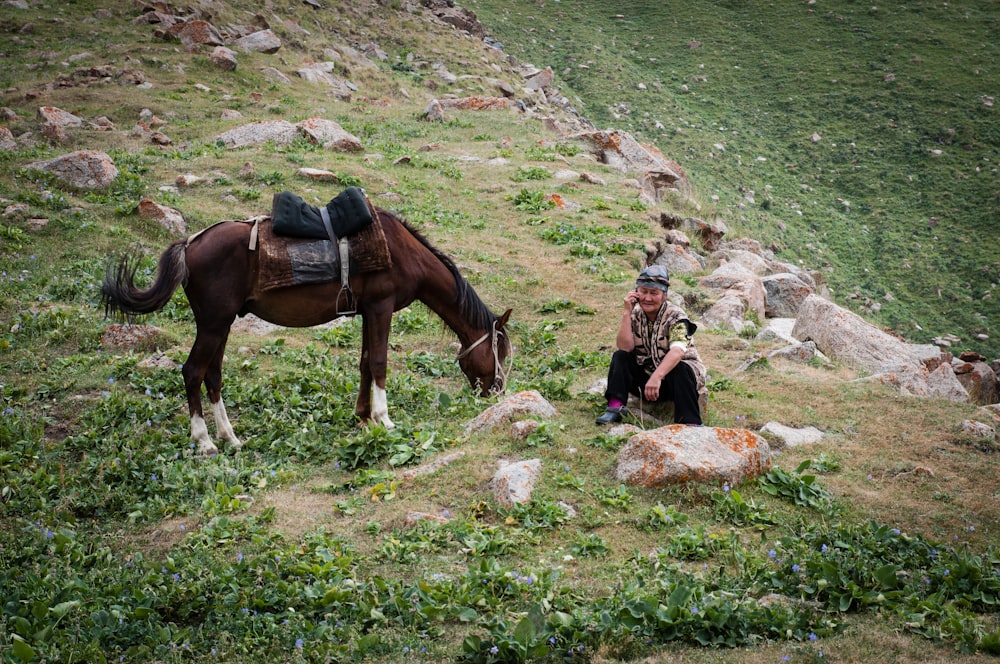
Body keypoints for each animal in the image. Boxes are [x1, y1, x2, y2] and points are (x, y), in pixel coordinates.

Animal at [102, 208, 512, 456]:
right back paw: (204, 442)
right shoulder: (380, 307)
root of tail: (190, 244)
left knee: (212, 375)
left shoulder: (367, 311)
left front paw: (363, 416)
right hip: (214, 324)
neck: (401, 251)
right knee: (192, 372)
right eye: (501, 352)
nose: (496, 391)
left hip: (219, 324)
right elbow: (379, 362)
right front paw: (383, 418)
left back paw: (230, 437)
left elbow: (365, 363)